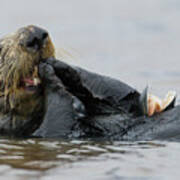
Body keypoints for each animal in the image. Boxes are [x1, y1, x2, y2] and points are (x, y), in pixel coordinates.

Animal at [0, 25, 180, 141]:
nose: (35, 35)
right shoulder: (49, 133)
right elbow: (57, 121)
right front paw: (50, 77)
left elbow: (124, 96)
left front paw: (62, 66)